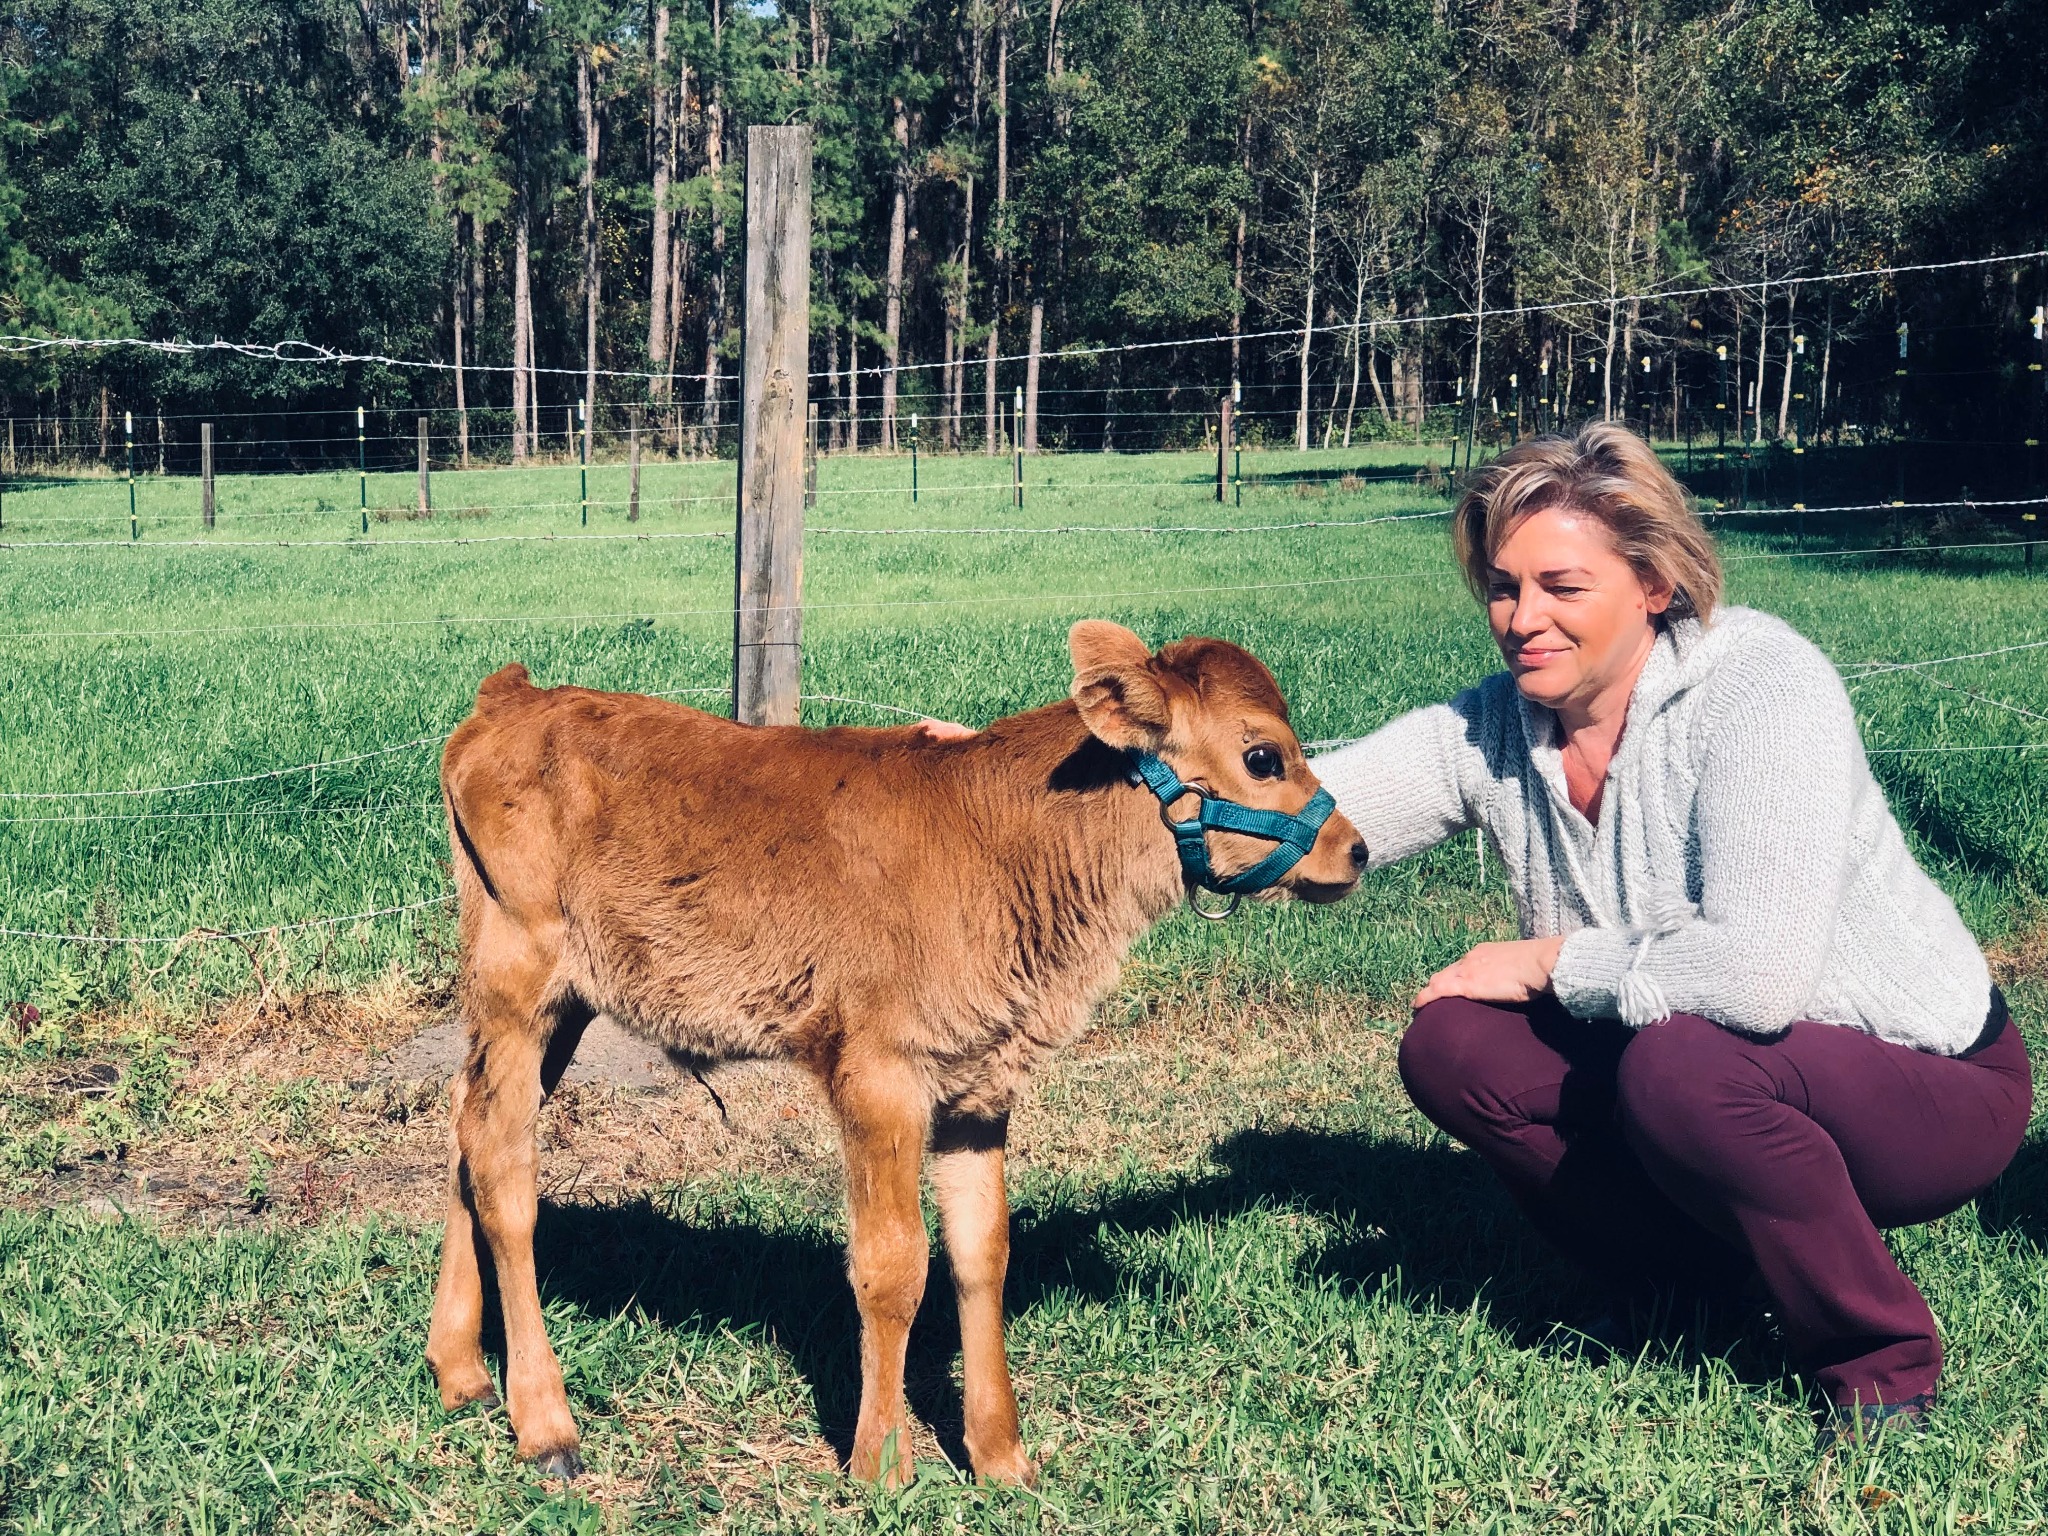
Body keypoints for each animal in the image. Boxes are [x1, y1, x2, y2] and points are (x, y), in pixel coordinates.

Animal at [425, 619, 1367, 1486]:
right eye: (1262, 756)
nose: (1354, 849)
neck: (1001, 841)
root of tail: (515, 696)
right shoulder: (879, 1073)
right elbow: (893, 1265)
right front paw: (882, 1465)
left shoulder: (981, 1086)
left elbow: (981, 1252)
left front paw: (1001, 1458)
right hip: (518, 976)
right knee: (504, 1161)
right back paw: (546, 1424)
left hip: (562, 1005)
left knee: (467, 1126)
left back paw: (461, 1370)